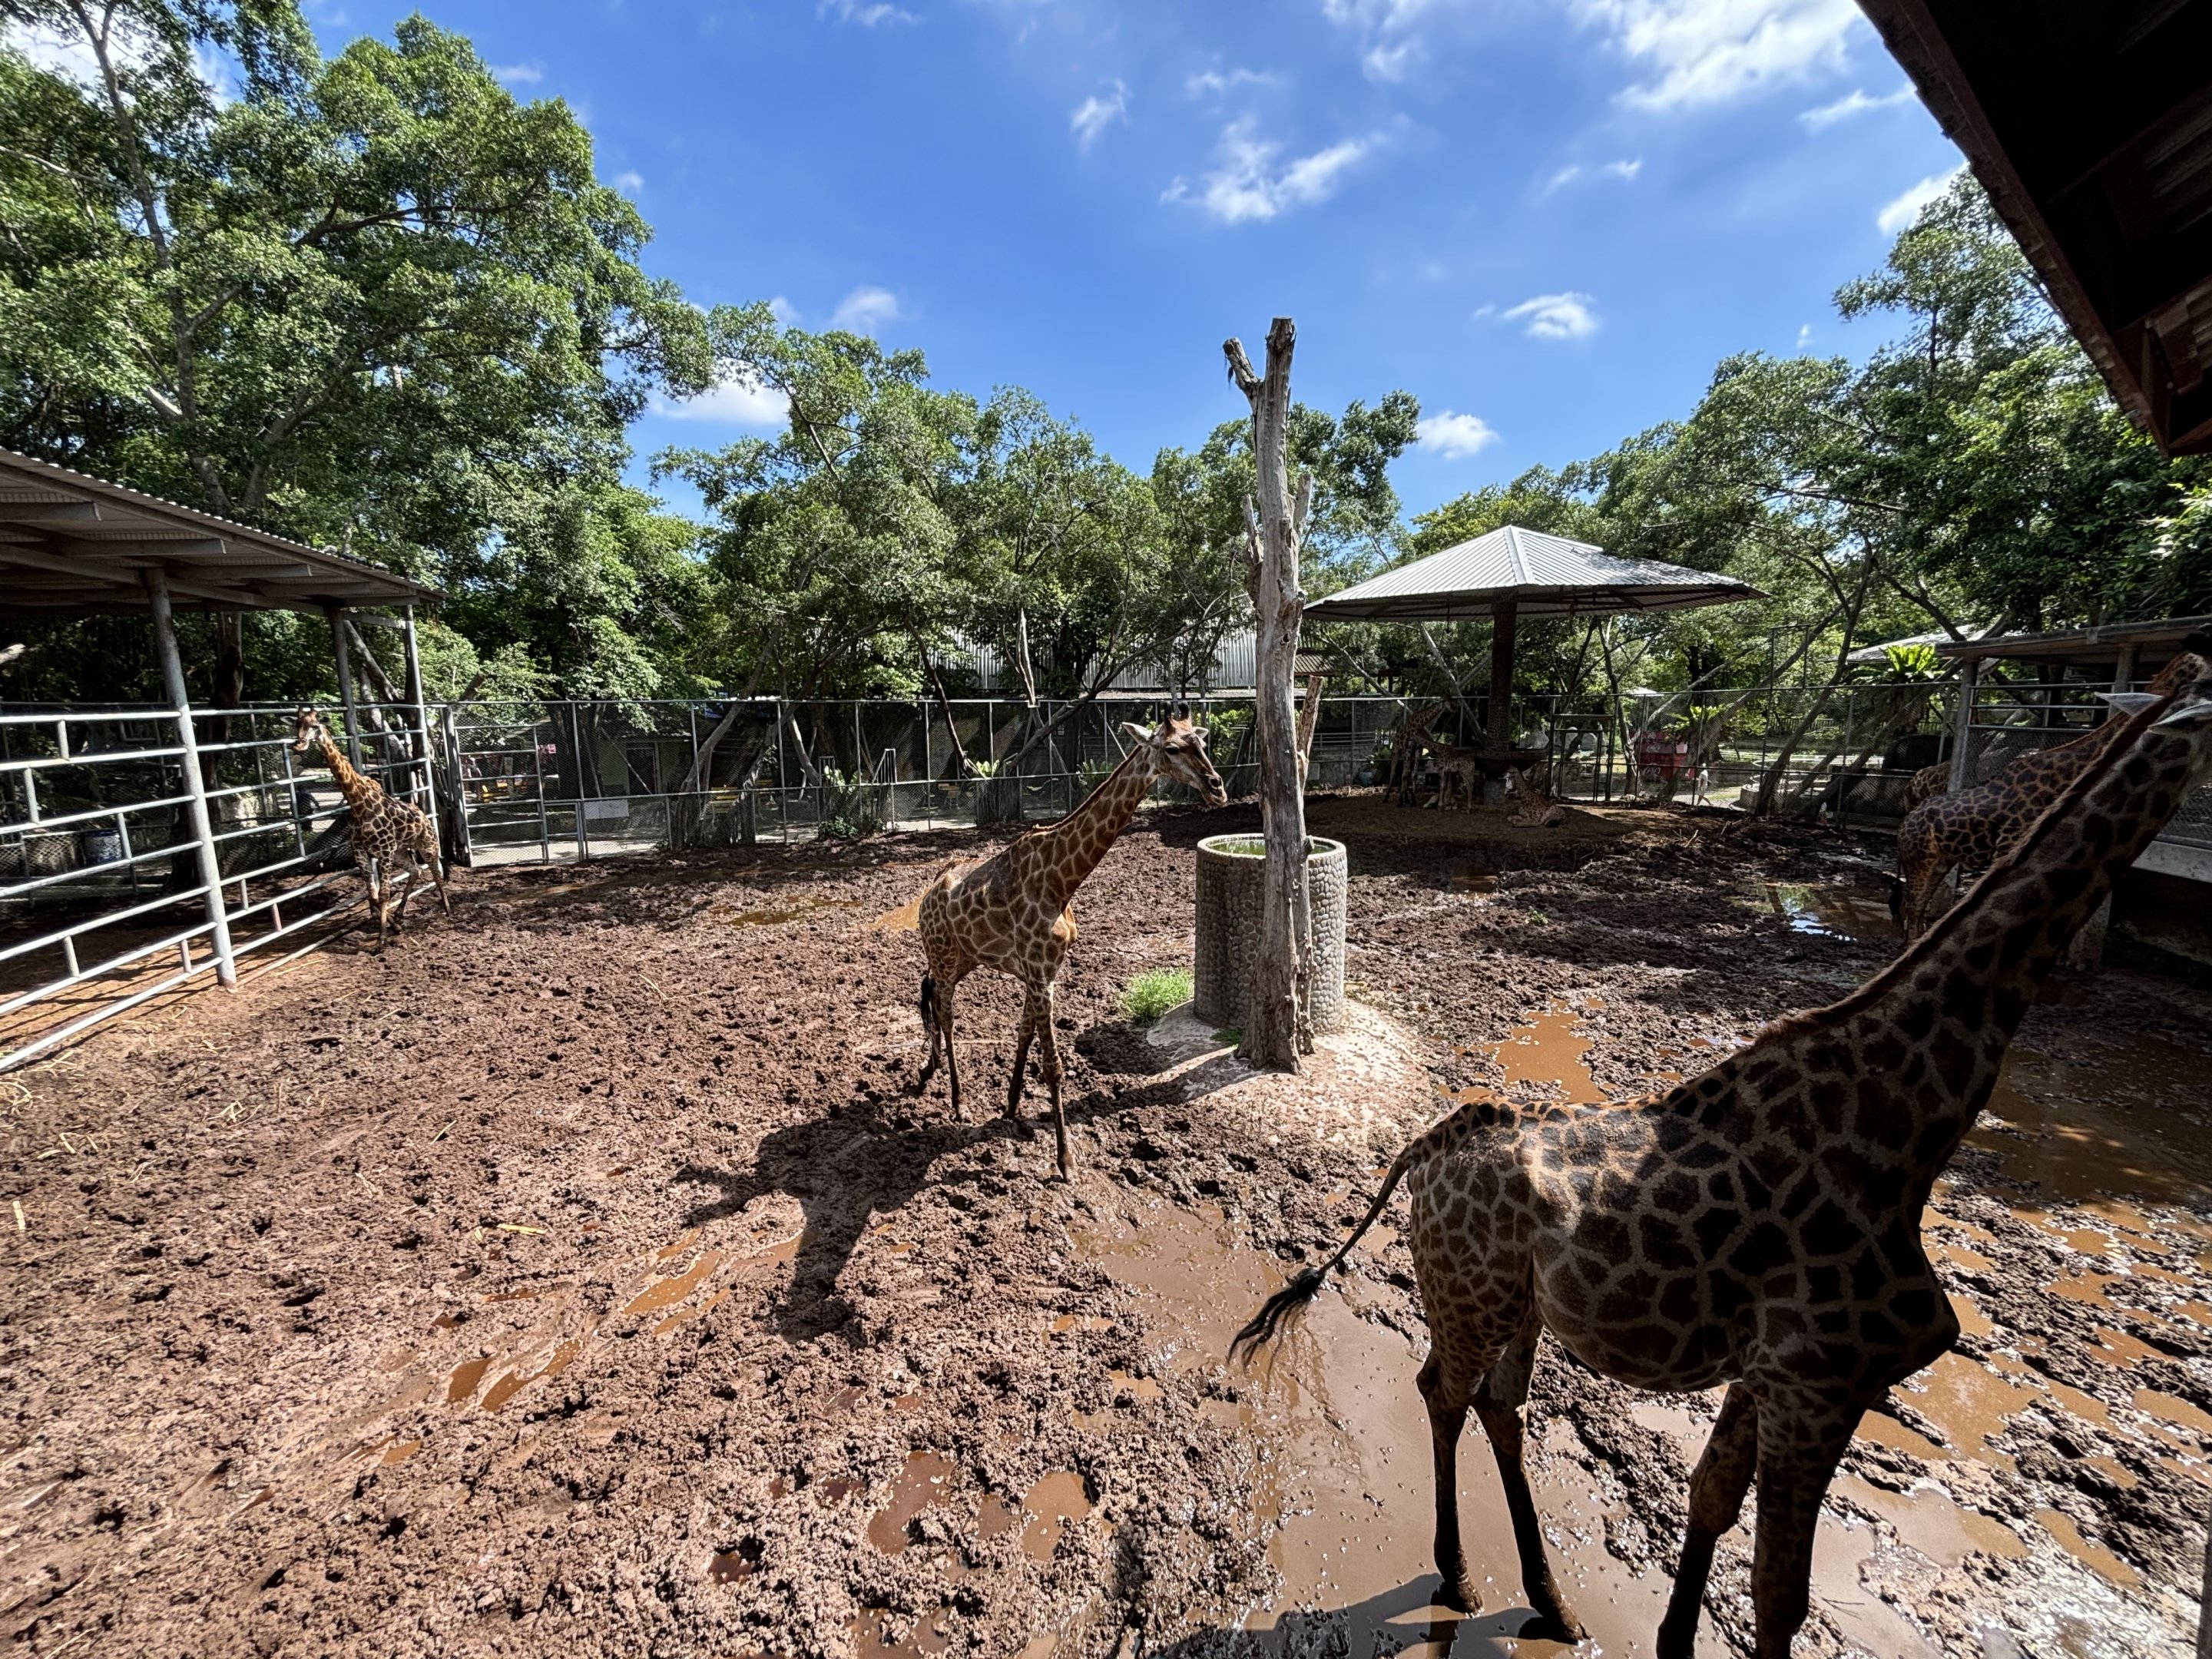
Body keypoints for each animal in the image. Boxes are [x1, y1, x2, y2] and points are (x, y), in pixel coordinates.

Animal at [292, 706, 448, 949]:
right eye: (297, 724)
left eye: (315, 726)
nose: (298, 745)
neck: (358, 803)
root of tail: (424, 816)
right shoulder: (361, 853)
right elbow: (372, 895)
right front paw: (394, 927)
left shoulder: (383, 852)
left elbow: (383, 894)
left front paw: (381, 940)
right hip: (400, 852)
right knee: (415, 871)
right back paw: (401, 914)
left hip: (426, 845)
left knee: (436, 872)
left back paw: (447, 908)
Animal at [914, 708, 1227, 1177]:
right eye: (1171, 748)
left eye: (1202, 743)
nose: (1217, 788)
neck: (1062, 881)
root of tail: (927, 896)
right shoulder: (1039, 974)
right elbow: (1053, 1065)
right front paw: (1065, 1161)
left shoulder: (1044, 972)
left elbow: (1024, 1035)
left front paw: (1011, 1109)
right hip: (946, 957)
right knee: (946, 1013)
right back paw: (958, 1103)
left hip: (965, 956)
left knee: (930, 995)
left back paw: (932, 1070)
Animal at [1892, 639, 2207, 935]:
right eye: (2198, 664)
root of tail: (1906, 822)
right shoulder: (2009, 847)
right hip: (1922, 858)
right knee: (1912, 905)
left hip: (1940, 859)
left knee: (1917, 908)